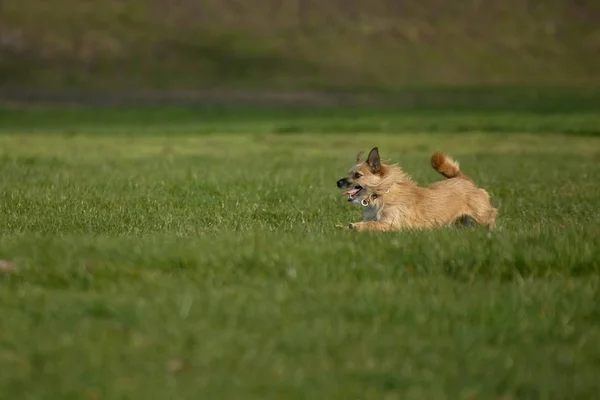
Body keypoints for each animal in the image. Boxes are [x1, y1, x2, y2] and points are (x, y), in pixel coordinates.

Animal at [338, 147, 496, 231]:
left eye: (357, 175)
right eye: (348, 173)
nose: (338, 182)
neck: (380, 195)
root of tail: (463, 179)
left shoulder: (392, 223)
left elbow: (370, 224)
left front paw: (354, 226)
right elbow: (364, 223)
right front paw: (342, 227)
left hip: (481, 215)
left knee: (492, 214)